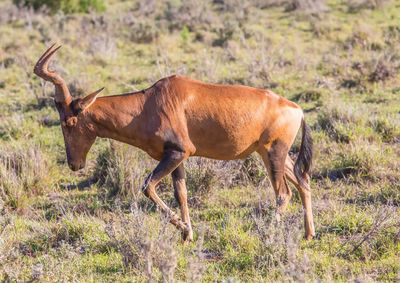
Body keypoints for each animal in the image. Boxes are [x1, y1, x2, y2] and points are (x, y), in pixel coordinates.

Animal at [33, 43, 316, 242]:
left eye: (69, 121)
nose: (74, 164)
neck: (149, 103)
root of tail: (297, 109)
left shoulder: (178, 152)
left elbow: (147, 186)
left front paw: (183, 229)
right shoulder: (175, 158)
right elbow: (182, 195)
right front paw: (187, 234)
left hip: (274, 152)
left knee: (283, 193)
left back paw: (268, 233)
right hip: (271, 154)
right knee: (303, 182)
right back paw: (309, 234)